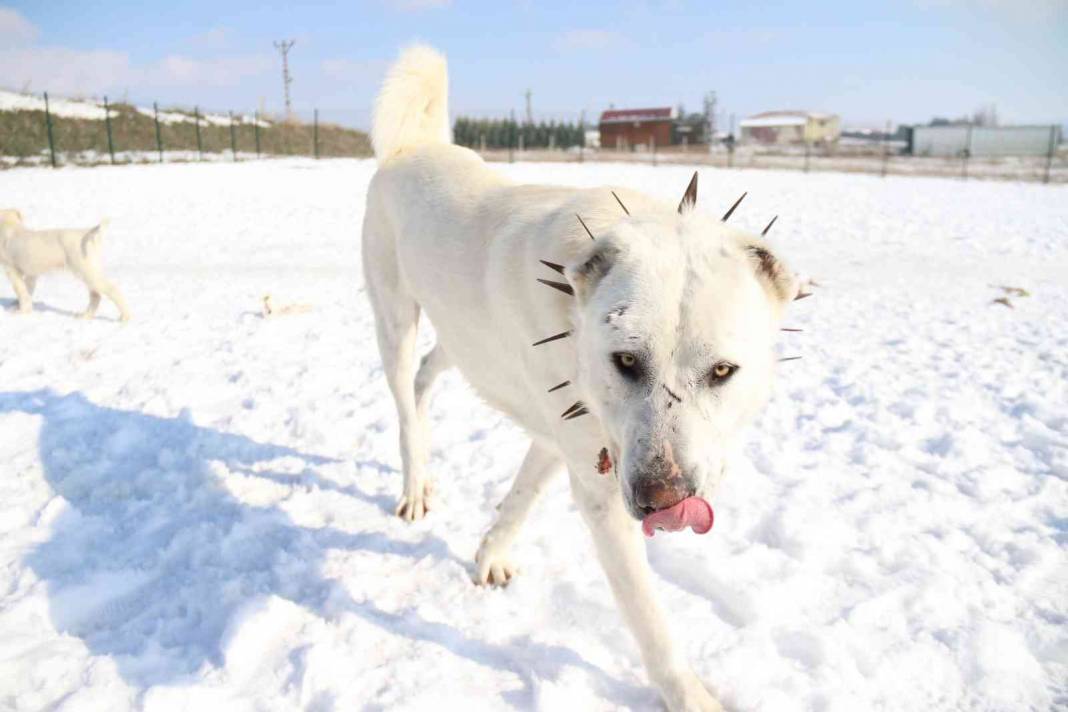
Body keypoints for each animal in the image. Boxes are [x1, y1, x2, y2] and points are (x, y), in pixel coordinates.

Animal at [0, 210, 130, 322]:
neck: (10, 227)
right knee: (95, 296)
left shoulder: (12, 271)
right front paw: (20, 307)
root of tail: (87, 233)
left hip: (88, 273)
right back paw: (85, 316)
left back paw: (125, 317)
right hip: (90, 273)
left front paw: (20, 312)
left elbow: (21, 291)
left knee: (112, 290)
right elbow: (27, 291)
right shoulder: (31, 275)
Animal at [360, 47, 803, 708]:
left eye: (723, 371)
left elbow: (520, 497)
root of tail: (413, 148)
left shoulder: (567, 435)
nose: (663, 502)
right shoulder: (597, 483)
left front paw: (490, 553)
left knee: (426, 375)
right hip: (393, 318)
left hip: (460, 337)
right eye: (625, 361)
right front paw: (689, 694)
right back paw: (415, 485)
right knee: (404, 397)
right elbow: (648, 617)